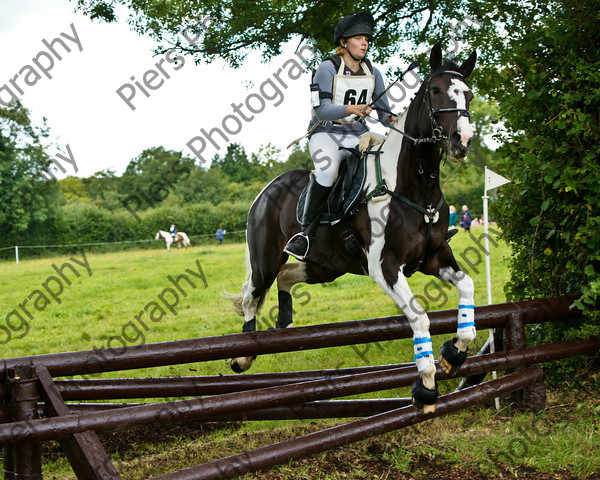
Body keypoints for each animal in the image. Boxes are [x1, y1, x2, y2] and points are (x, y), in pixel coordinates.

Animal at [230, 44, 478, 412]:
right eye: (435, 90)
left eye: (469, 95)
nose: (462, 140)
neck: (413, 186)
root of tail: (267, 189)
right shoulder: (385, 267)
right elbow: (419, 316)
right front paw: (426, 387)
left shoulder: (435, 257)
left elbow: (467, 288)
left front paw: (453, 354)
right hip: (265, 259)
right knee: (252, 295)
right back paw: (243, 356)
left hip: (327, 265)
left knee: (287, 277)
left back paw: (284, 322)